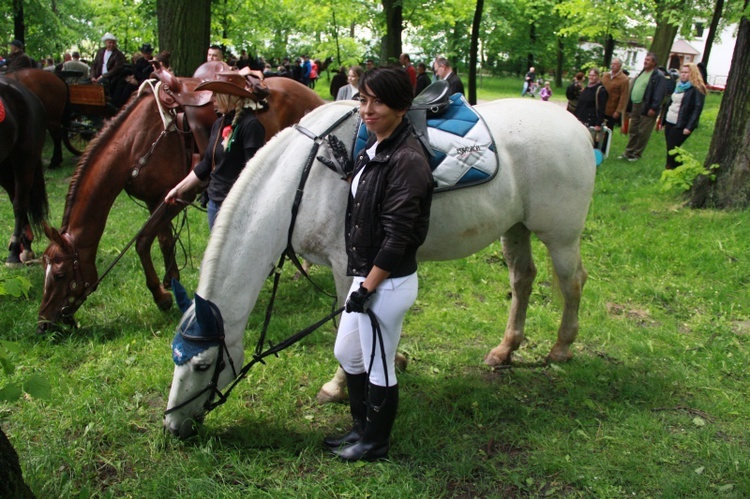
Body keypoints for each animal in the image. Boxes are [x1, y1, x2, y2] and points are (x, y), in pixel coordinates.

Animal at [38, 75, 326, 332]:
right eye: (44, 268)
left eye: (61, 274)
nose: (43, 324)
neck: (139, 140)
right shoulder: (157, 198)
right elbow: (164, 241)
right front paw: (171, 283)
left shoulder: (175, 198)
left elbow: (143, 241)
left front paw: (162, 296)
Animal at [166, 99, 600, 440]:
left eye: (202, 364)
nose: (172, 425)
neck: (302, 182)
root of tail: (578, 128)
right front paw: (396, 359)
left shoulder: (348, 266)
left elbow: (348, 327)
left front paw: (337, 386)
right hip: (516, 228)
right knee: (522, 280)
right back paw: (506, 349)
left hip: (559, 235)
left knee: (572, 282)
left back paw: (561, 347)